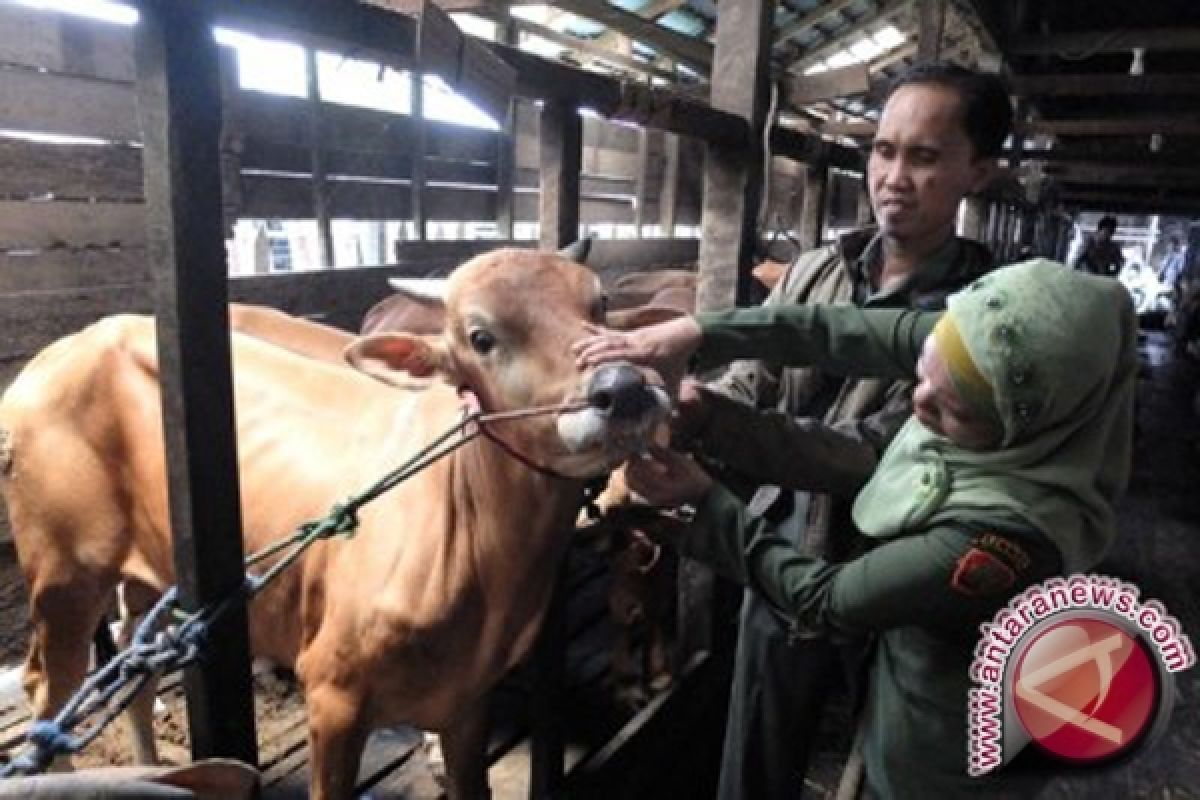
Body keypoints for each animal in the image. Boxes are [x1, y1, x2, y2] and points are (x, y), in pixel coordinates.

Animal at [0, 250, 672, 800]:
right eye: (481, 336)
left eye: (598, 304)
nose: (623, 387)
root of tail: (62, 350)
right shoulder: (333, 696)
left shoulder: (468, 700)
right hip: (64, 572)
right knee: (45, 690)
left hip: (148, 570)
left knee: (135, 660)